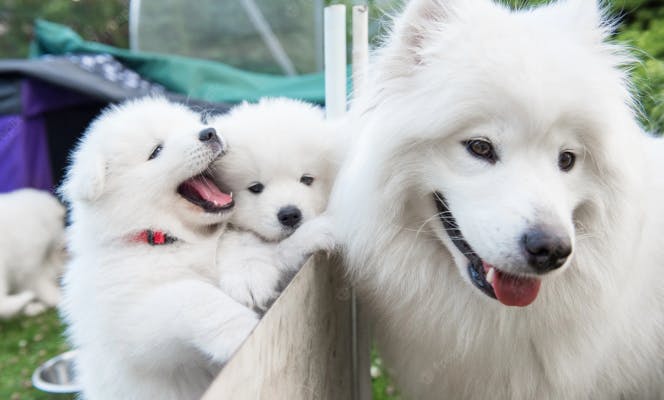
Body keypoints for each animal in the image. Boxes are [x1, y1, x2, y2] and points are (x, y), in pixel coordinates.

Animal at [0, 188, 65, 318]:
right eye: (62, 224)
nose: (64, 243)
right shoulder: (29, 266)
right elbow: (41, 285)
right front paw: (58, 298)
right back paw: (25, 300)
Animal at [60, 97, 260, 400]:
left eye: (190, 125)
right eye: (156, 151)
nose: (209, 132)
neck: (166, 237)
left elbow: (238, 242)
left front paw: (250, 279)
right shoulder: (133, 324)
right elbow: (190, 294)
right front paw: (241, 329)